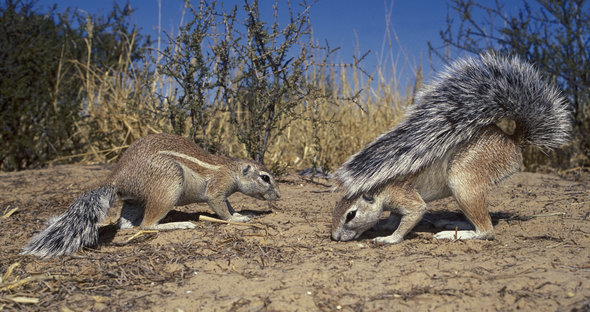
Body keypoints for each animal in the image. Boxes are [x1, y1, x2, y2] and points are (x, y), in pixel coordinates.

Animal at [23, 133, 282, 258]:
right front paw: (236, 219)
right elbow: (220, 208)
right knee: (147, 226)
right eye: (265, 178)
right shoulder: (217, 189)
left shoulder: (224, 192)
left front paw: (240, 212)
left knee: (125, 225)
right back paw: (180, 224)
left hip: (134, 200)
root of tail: (117, 178)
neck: (231, 169)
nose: (278, 196)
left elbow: (229, 204)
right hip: (169, 183)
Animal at [330, 51, 572, 244]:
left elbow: (414, 214)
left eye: (350, 215)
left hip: (463, 177)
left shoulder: (403, 195)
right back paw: (453, 224)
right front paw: (383, 226)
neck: (379, 187)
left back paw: (456, 235)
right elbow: (393, 218)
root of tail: (513, 141)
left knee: (486, 231)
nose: (334, 237)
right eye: (335, 209)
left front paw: (388, 238)